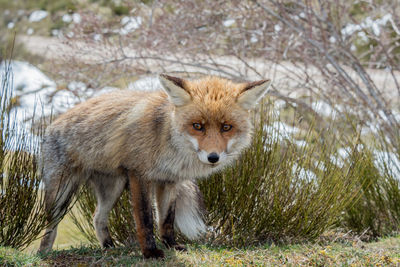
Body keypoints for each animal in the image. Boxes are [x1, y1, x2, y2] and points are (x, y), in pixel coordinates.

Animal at [38, 74, 268, 258]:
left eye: (226, 127)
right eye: (197, 126)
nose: (213, 157)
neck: (165, 139)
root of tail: (52, 126)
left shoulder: (169, 180)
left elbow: (166, 220)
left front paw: (171, 246)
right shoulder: (140, 175)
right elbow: (146, 220)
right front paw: (150, 252)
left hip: (113, 189)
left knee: (97, 218)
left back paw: (109, 247)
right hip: (60, 194)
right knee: (50, 226)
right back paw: (44, 253)